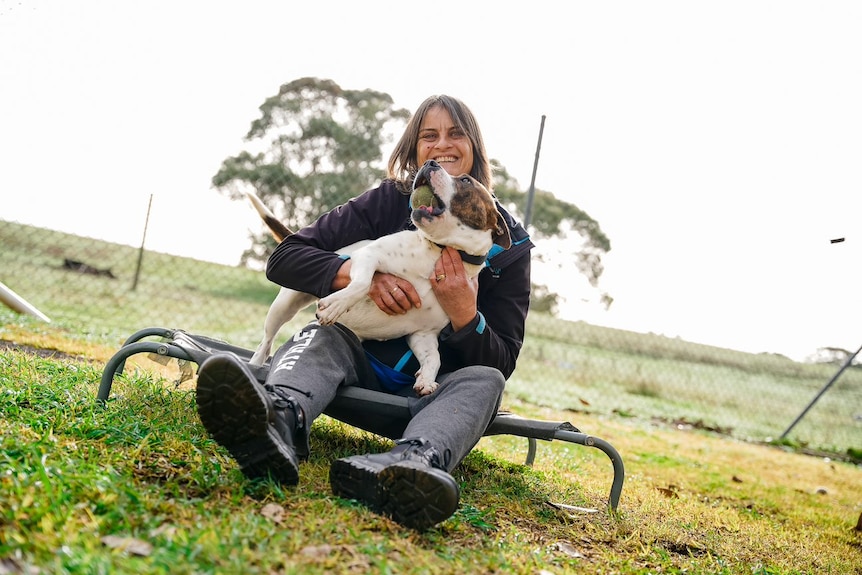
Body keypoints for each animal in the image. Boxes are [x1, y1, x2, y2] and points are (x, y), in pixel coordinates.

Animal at [246, 161, 510, 396]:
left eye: (465, 180)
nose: (430, 163)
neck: (439, 251)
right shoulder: (368, 256)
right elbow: (364, 284)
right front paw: (335, 305)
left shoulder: (423, 334)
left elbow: (434, 358)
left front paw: (425, 380)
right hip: (284, 305)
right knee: (266, 342)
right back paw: (254, 367)